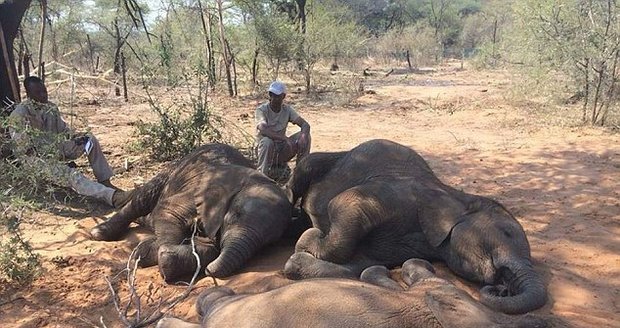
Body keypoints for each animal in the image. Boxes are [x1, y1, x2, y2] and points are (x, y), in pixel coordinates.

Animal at [88, 144, 292, 282]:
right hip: (172, 171)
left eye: (268, 244)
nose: (208, 271)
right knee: (143, 200)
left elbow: (211, 247)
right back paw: (99, 233)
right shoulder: (197, 193)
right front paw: (147, 253)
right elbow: (168, 211)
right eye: (235, 215)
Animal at [280, 139, 548, 316]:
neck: (456, 197)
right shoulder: (400, 194)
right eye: (507, 233)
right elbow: (344, 203)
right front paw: (309, 238)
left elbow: (360, 263)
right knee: (303, 171)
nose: (503, 290)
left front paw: (299, 258)